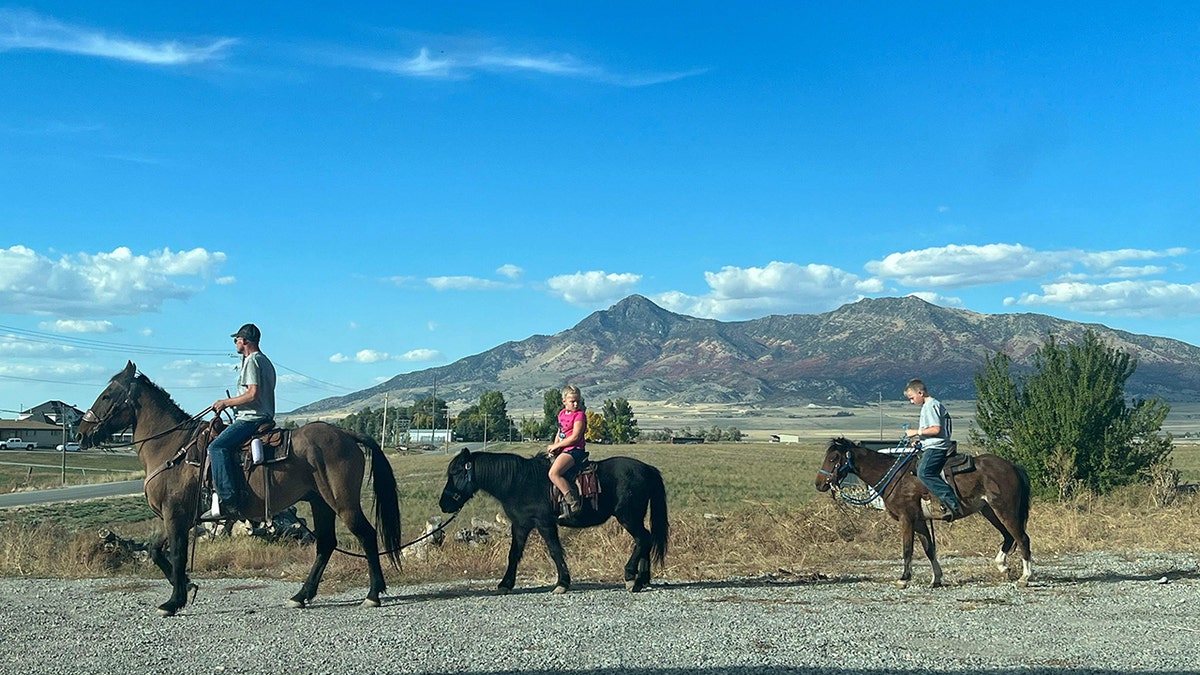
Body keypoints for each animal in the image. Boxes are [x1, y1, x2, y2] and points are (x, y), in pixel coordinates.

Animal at [78, 362, 403, 614]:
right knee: (325, 544)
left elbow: (177, 555)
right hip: (320, 502)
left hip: (342, 502)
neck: (172, 448)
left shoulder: (175, 514)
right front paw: (188, 587)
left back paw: (373, 595)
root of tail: (346, 433)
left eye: (107, 395)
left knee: (366, 535)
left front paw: (173, 601)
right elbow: (157, 552)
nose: (81, 434)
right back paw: (301, 596)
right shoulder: (175, 517)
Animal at [436, 449, 672, 590]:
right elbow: (514, 554)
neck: (519, 482)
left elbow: (555, 551)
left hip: (628, 517)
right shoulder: (520, 525)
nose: (443, 504)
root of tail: (647, 469)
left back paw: (631, 576)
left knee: (643, 539)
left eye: (456, 472)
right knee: (646, 539)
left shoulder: (544, 523)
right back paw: (642, 580)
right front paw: (506, 583)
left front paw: (562, 583)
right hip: (635, 517)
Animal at [816, 437, 1032, 583]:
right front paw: (936, 579)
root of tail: (1013, 466)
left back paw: (1025, 576)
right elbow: (929, 549)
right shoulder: (919, 520)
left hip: (1005, 510)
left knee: (1022, 538)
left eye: (833, 458)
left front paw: (904, 578)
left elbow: (907, 549)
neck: (896, 478)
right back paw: (1003, 567)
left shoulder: (907, 518)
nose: (819, 484)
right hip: (989, 511)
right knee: (1009, 536)